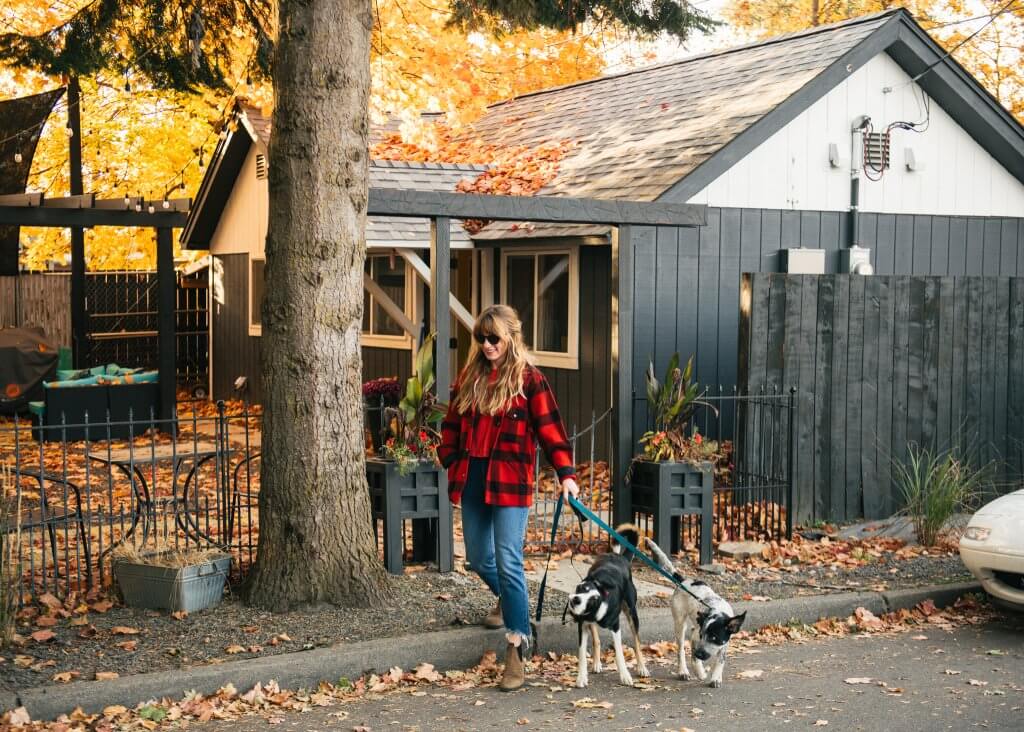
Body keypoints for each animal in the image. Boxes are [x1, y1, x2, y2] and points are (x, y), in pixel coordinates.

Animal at [569, 524, 647, 692]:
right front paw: (581, 678)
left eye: (592, 600)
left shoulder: (616, 626)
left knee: (637, 643)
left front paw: (625, 676)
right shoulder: (583, 625)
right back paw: (597, 663)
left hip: (632, 613)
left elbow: (619, 653)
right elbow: (582, 653)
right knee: (597, 640)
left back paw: (642, 668)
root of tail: (619, 557)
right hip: (591, 624)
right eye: (582, 588)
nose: (576, 600)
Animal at [643, 536, 749, 687]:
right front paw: (699, 671)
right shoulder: (695, 637)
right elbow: (693, 656)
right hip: (679, 623)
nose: (700, 654)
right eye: (702, 635)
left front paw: (716, 677)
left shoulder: (724, 644)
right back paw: (683, 671)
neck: (718, 611)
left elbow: (720, 661)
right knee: (680, 650)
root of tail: (683, 581)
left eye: (714, 637)